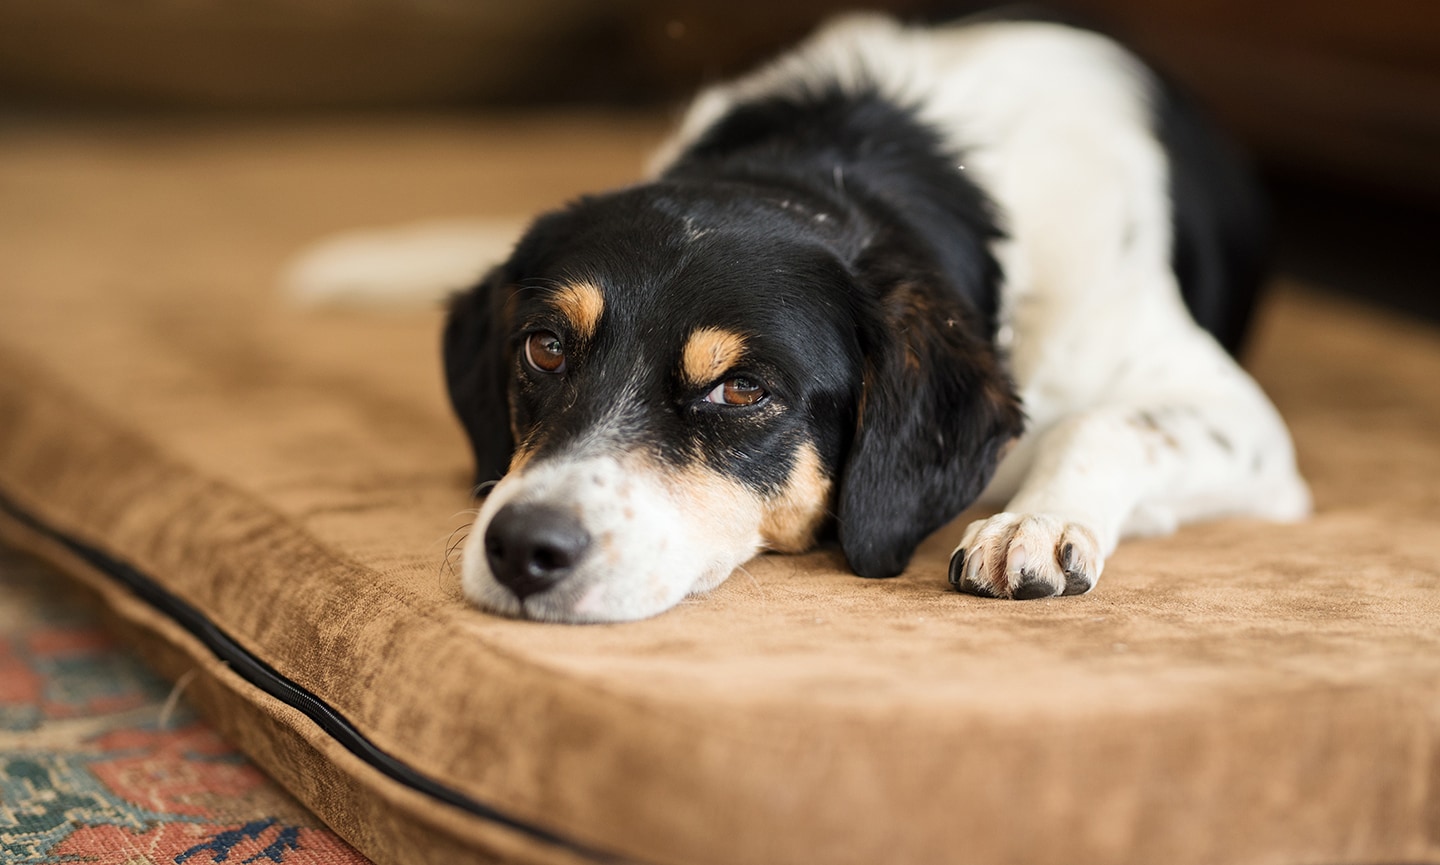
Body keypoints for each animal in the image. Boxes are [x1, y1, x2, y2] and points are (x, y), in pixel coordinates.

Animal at [429, 13, 1319, 621]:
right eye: (546, 348)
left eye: (743, 390)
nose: (523, 547)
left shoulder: (1245, 424)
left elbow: (1103, 422)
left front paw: (1034, 521)